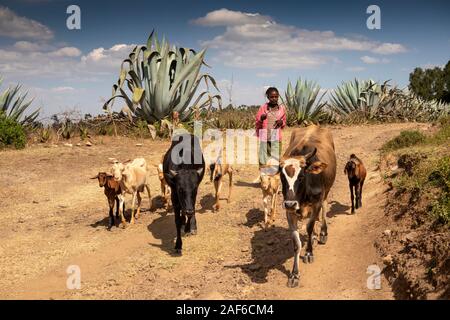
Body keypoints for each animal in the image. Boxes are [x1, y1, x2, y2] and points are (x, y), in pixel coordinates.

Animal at [280, 124, 336, 288]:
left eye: (301, 176)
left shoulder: (316, 202)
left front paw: (309, 252)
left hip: (326, 192)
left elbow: (310, 227)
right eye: (281, 176)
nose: (290, 203)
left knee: (324, 208)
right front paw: (294, 274)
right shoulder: (289, 212)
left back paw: (322, 233)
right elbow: (296, 243)